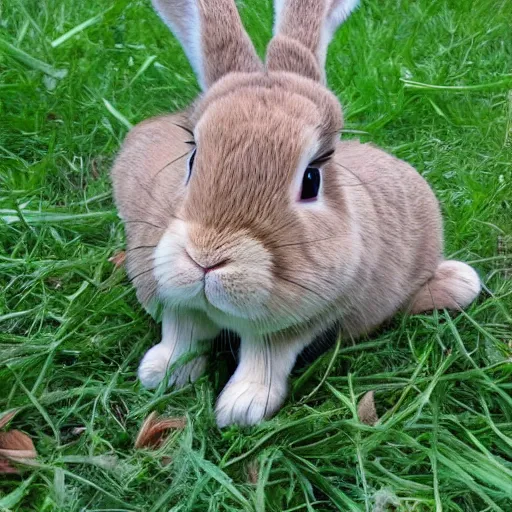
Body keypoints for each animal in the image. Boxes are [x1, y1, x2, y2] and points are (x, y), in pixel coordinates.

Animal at [110, 0, 482, 426]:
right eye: (192, 157)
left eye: (311, 179)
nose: (207, 259)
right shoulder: (173, 299)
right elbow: (183, 334)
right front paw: (161, 373)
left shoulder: (305, 318)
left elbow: (265, 357)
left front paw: (242, 407)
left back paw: (459, 281)